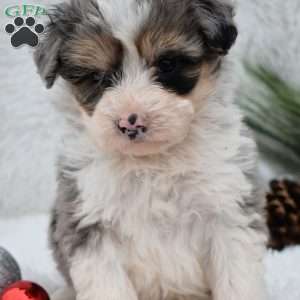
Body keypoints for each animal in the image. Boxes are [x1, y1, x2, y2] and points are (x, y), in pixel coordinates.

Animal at [34, 0, 268, 300]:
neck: (152, 161)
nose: (130, 122)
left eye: (167, 63)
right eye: (97, 76)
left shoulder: (229, 211)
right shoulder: (90, 223)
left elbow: (237, 279)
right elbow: (109, 285)